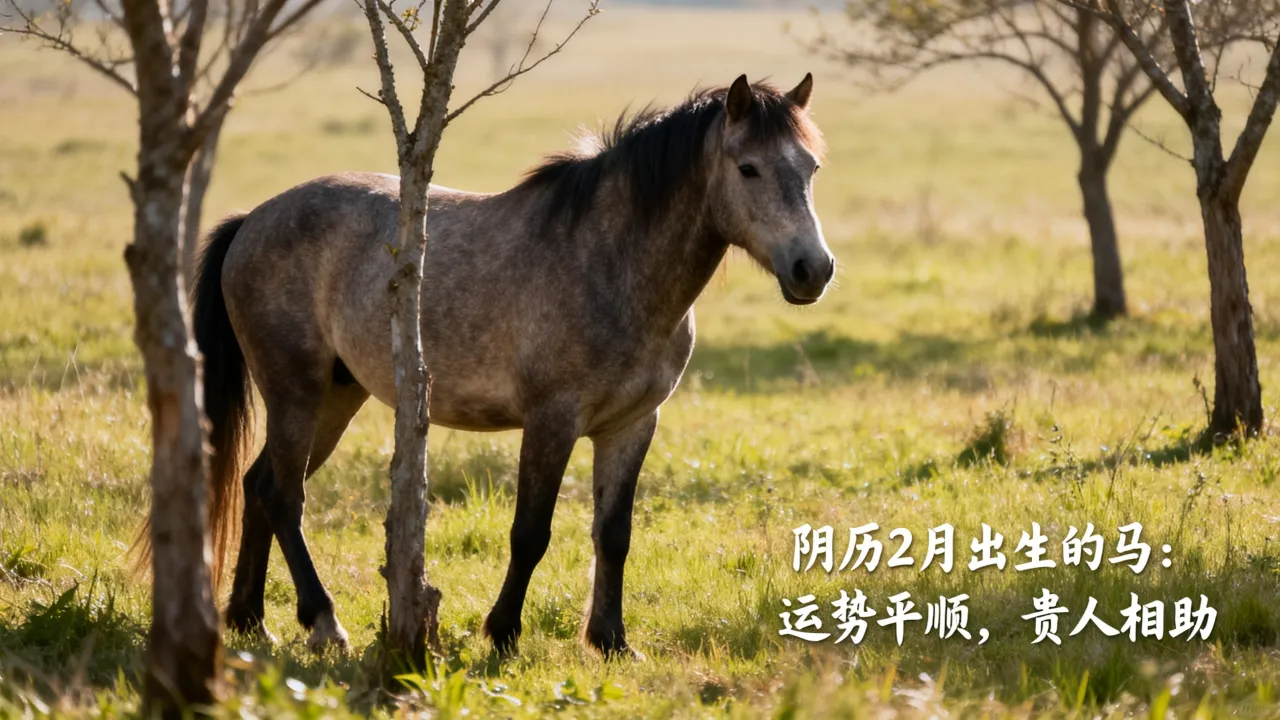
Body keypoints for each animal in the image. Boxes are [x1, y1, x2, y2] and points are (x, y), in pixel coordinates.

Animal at [189, 73, 833, 656]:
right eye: (748, 168)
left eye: (811, 169)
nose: (814, 270)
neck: (610, 262)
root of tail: (251, 221)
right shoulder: (551, 422)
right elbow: (531, 533)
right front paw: (503, 633)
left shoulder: (631, 426)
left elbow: (613, 534)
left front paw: (611, 641)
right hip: (294, 390)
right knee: (284, 497)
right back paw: (323, 622)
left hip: (336, 396)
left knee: (259, 486)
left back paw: (251, 621)